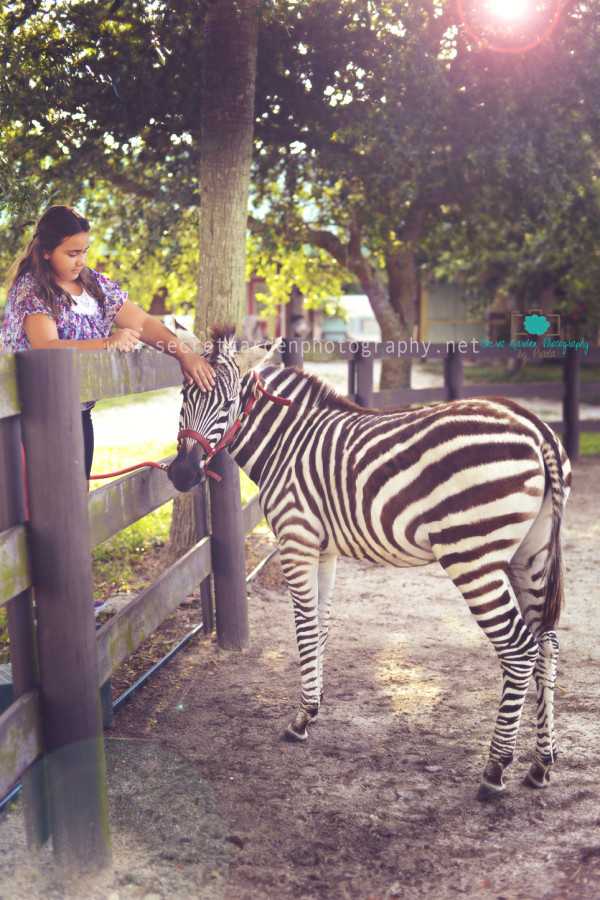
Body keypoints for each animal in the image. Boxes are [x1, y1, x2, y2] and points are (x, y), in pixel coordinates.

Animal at [166, 326, 568, 800]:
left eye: (228, 404)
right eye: (183, 394)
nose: (183, 475)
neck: (286, 443)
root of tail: (535, 427)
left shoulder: (296, 540)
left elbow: (304, 628)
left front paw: (300, 719)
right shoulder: (324, 548)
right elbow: (321, 627)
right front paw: (314, 708)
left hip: (473, 557)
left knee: (519, 648)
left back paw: (495, 768)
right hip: (531, 554)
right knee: (547, 643)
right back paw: (541, 763)